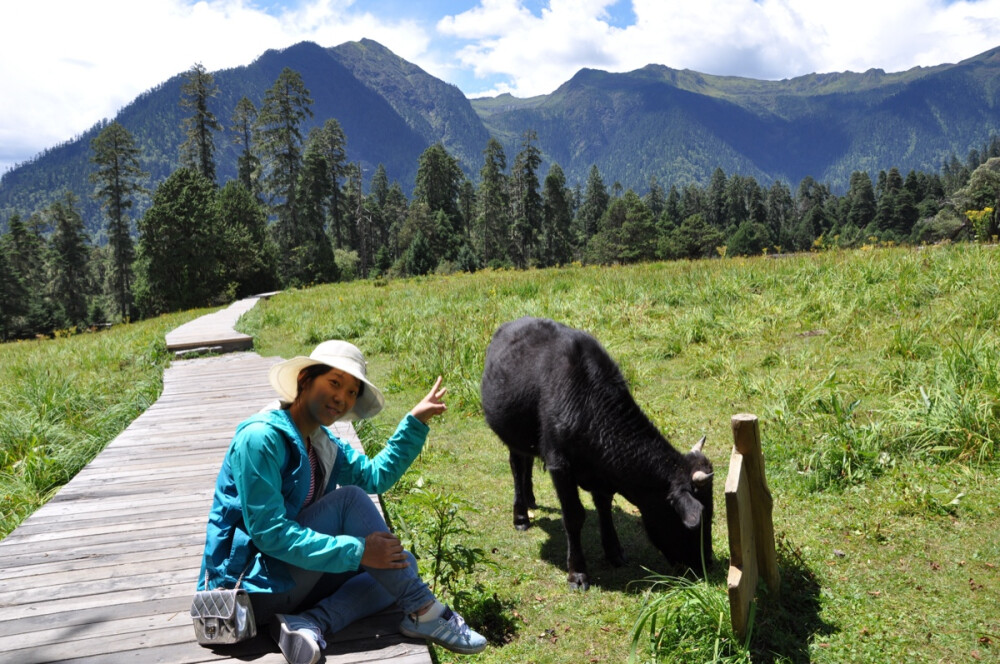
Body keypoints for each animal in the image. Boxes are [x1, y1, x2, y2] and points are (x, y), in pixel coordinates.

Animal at [482, 318, 712, 592]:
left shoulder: (601, 474)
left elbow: (604, 508)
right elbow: (573, 516)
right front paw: (578, 573)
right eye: (698, 522)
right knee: (517, 465)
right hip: (512, 434)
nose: (708, 565)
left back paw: (530, 499)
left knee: (527, 463)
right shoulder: (560, 465)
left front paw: (614, 551)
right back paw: (520, 515)